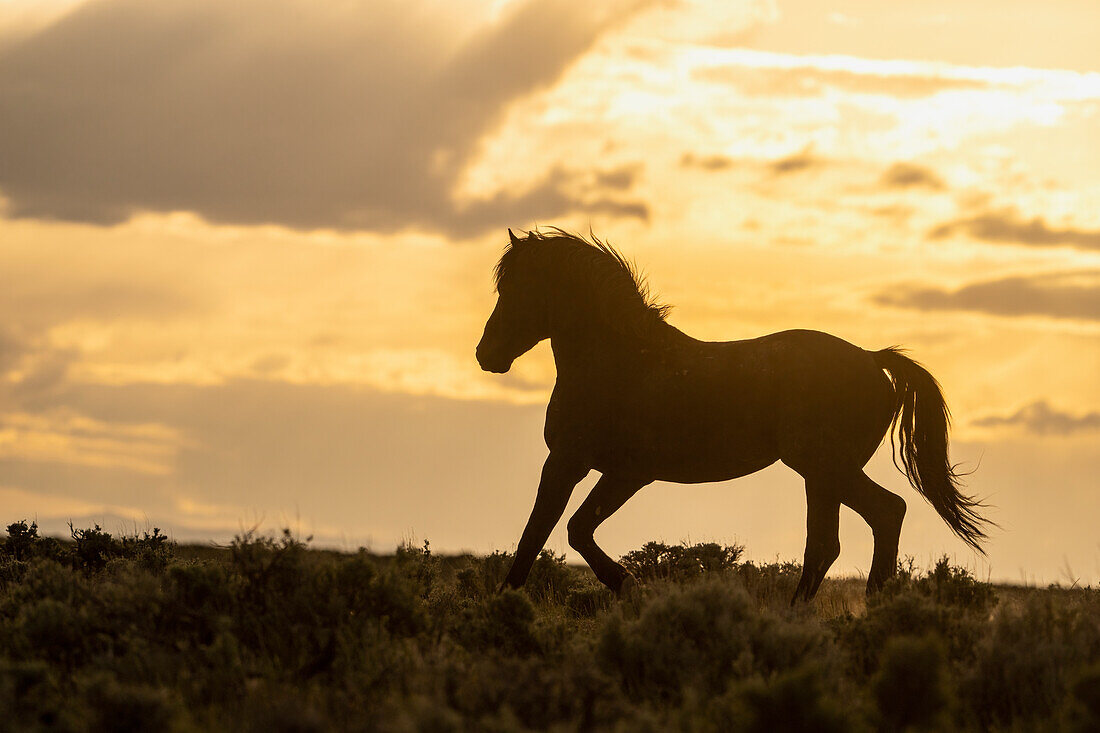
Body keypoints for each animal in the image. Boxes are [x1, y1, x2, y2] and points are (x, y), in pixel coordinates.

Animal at [473, 226, 990, 598]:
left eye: (518, 289)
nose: (486, 354)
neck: (621, 362)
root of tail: (872, 358)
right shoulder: (613, 471)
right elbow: (569, 530)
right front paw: (627, 586)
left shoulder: (589, 466)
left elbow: (546, 532)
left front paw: (515, 601)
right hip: (821, 475)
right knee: (827, 545)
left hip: (825, 467)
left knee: (885, 513)